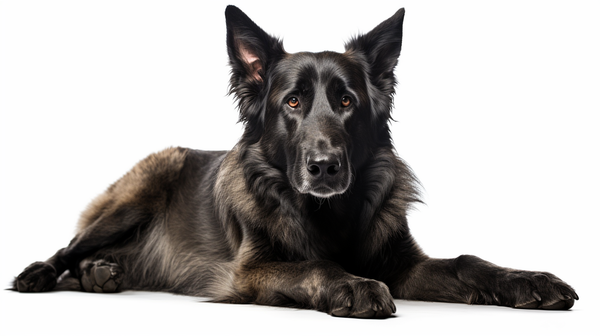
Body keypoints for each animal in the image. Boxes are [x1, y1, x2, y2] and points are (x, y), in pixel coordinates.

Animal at [12, 5, 576, 318]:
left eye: (347, 101)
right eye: (293, 102)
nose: (324, 166)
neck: (330, 215)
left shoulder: (403, 265)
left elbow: (467, 261)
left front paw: (529, 280)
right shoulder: (252, 271)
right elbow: (313, 264)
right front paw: (350, 285)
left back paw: (102, 274)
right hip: (142, 187)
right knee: (69, 247)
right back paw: (42, 273)